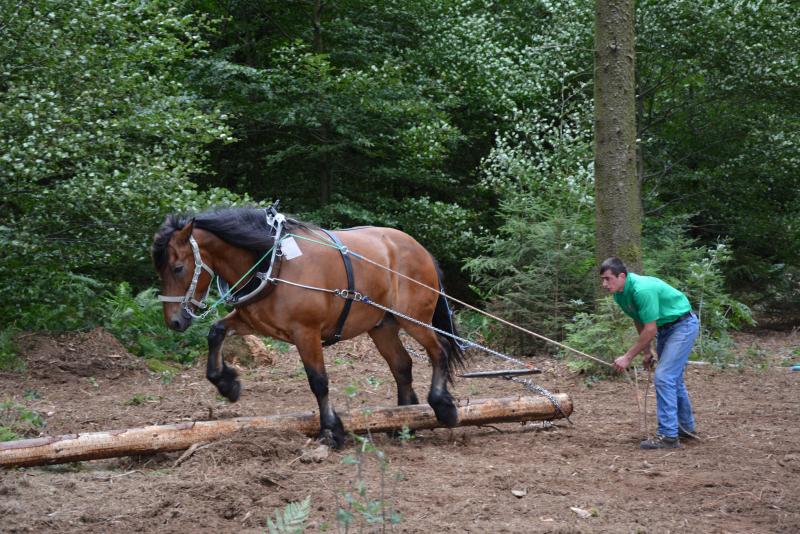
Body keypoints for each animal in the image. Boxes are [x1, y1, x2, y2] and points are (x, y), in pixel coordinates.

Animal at [153, 207, 466, 450]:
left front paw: (331, 429)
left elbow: (318, 381)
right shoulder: (252, 322)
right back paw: (404, 421)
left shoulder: (307, 333)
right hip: (382, 327)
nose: (174, 321)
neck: (275, 262)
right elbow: (216, 331)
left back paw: (442, 406)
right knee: (402, 366)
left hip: (414, 319)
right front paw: (227, 384)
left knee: (440, 350)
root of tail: (420, 249)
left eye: (178, 268)